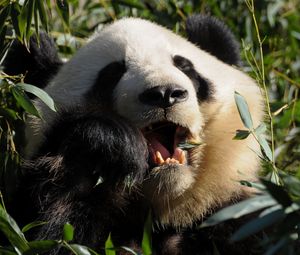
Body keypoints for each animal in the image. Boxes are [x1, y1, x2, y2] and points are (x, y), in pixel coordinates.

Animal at [4, 14, 264, 254]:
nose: (164, 93)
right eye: (113, 73)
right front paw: (111, 146)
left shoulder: (236, 211)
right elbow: (51, 232)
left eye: (185, 66)